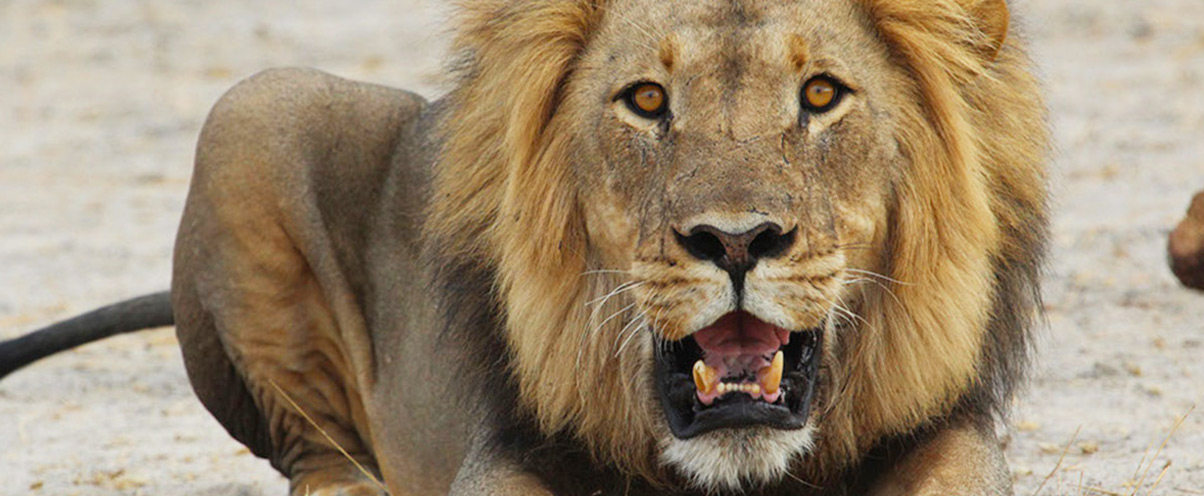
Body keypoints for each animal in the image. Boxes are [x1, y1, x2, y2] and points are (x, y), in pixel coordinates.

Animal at [0, 0, 1049, 493]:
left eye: (822, 95)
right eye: (646, 100)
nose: (736, 240)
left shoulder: (950, 428)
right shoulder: (503, 451)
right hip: (252, 110)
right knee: (312, 452)